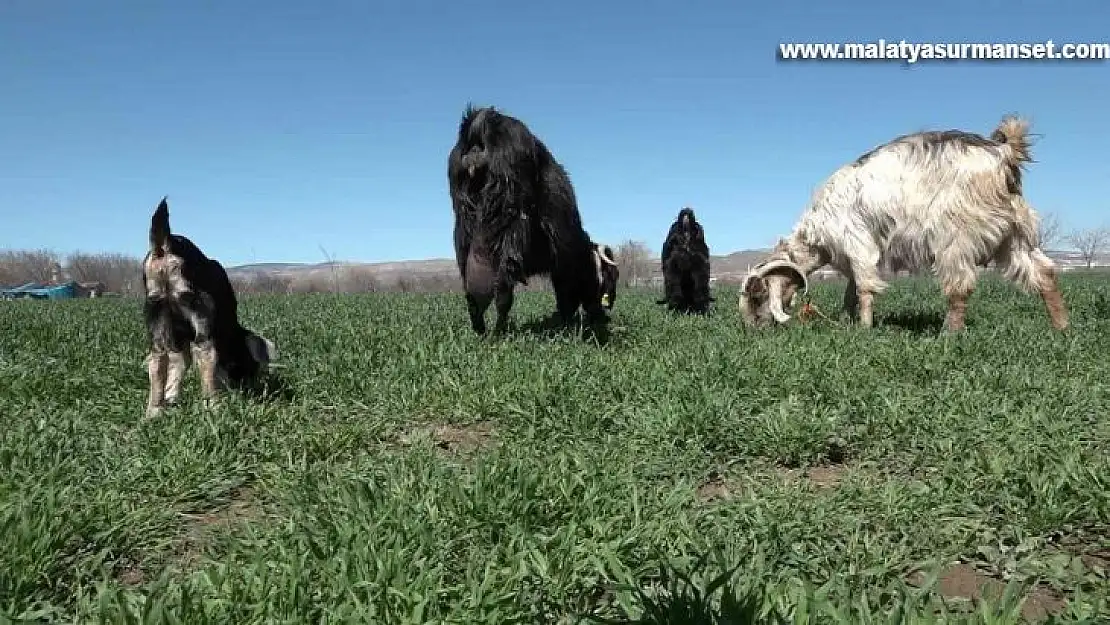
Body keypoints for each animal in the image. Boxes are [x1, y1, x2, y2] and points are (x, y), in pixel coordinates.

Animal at [741, 115, 1070, 335]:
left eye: (757, 296)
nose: (753, 329)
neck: (815, 237)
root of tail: (1003, 154)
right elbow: (851, 290)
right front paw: (847, 322)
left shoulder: (857, 243)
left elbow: (864, 289)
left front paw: (864, 329)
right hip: (1014, 235)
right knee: (1044, 273)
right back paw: (1061, 328)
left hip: (957, 235)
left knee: (960, 286)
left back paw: (947, 336)